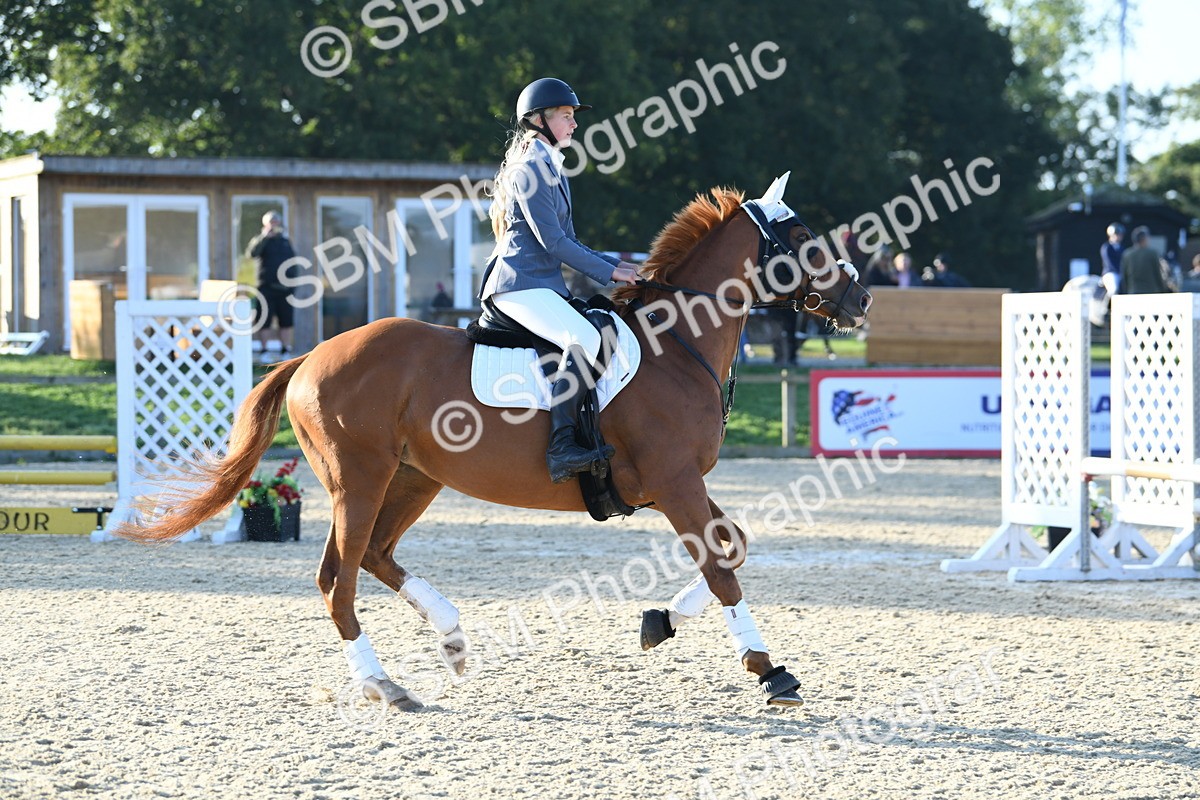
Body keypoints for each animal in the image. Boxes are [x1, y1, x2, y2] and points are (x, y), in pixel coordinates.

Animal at [116, 183, 872, 710]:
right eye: (802, 234)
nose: (860, 298)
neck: (675, 343)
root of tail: (309, 358)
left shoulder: (678, 485)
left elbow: (732, 545)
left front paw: (659, 622)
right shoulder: (675, 481)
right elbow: (721, 565)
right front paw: (770, 671)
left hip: (413, 478)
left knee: (378, 556)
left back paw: (450, 638)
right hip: (358, 480)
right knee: (339, 579)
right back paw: (386, 686)